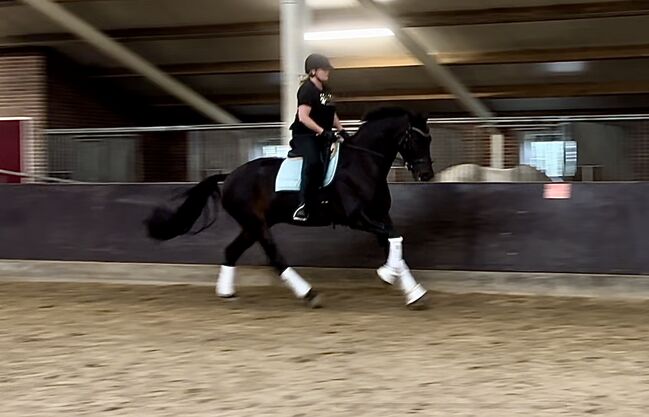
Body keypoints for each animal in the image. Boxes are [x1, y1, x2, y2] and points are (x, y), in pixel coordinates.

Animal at [147, 106, 436, 308]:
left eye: (429, 140)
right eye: (415, 140)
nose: (426, 175)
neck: (363, 163)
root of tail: (230, 176)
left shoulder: (379, 216)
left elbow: (395, 242)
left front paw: (413, 292)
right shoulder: (358, 218)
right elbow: (395, 238)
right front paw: (387, 275)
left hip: (252, 225)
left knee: (231, 251)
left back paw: (227, 293)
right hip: (256, 224)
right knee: (274, 257)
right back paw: (309, 294)